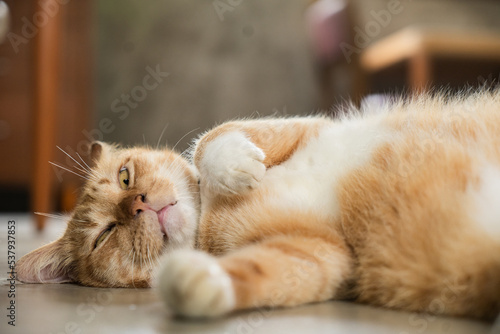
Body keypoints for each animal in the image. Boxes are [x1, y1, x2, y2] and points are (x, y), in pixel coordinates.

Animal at [16, 90, 500, 320]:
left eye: (124, 177)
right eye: (104, 236)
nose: (138, 203)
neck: (208, 215)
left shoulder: (308, 125)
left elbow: (210, 139)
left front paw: (233, 166)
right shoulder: (321, 252)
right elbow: (258, 270)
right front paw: (194, 281)